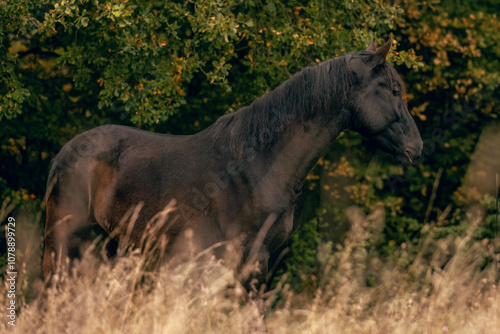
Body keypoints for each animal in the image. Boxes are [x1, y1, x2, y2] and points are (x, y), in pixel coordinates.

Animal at [42, 38, 422, 284]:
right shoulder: (248, 259)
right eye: (393, 90)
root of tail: (64, 155)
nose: (416, 148)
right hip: (66, 242)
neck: (258, 167)